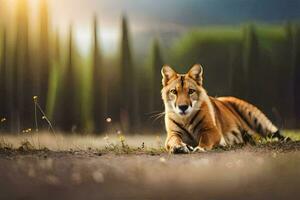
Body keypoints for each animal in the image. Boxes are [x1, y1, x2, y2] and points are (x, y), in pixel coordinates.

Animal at [161, 63, 290, 153]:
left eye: (191, 91)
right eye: (174, 91)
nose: (183, 107)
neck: (185, 119)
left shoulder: (212, 130)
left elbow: (205, 139)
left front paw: (200, 148)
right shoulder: (173, 133)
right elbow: (173, 140)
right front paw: (179, 147)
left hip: (254, 116)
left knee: (273, 133)